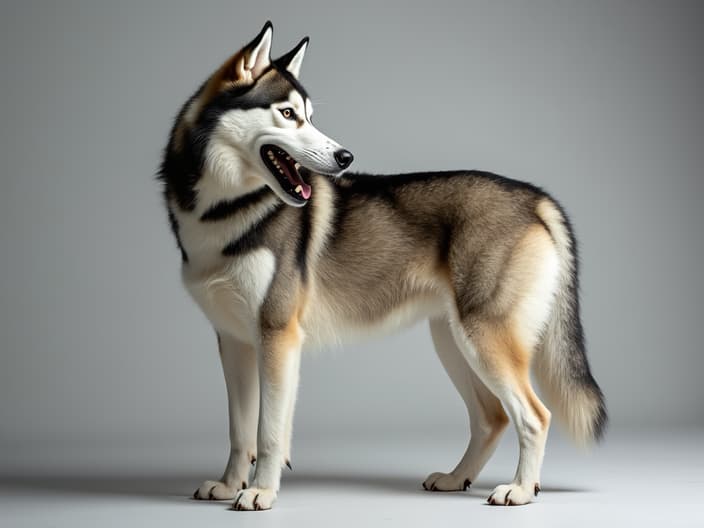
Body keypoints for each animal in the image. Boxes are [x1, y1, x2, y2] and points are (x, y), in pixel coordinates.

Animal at [158, 21, 604, 512]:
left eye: (309, 115)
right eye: (288, 114)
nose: (345, 157)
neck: (224, 211)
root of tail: (535, 196)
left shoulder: (278, 335)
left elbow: (269, 432)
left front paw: (260, 491)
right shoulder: (235, 342)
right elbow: (240, 431)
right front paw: (229, 484)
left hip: (483, 338)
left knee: (534, 415)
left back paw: (521, 489)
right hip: (452, 341)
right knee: (492, 417)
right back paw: (456, 478)